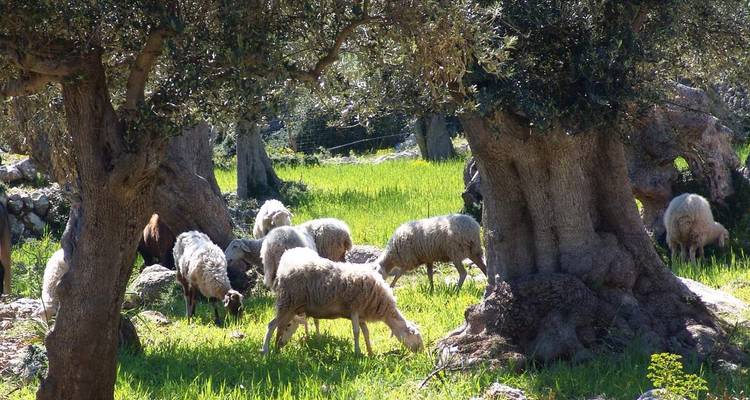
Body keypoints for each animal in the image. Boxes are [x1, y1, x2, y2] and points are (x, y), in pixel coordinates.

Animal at [262, 247, 423, 356]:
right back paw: (265, 350)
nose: (421, 352)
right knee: (271, 325)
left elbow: (366, 333)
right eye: (416, 336)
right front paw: (357, 352)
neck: (381, 305)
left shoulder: (361, 315)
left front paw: (370, 352)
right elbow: (356, 332)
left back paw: (276, 347)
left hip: (291, 307)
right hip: (288, 302)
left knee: (280, 327)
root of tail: (283, 270)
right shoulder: (354, 309)